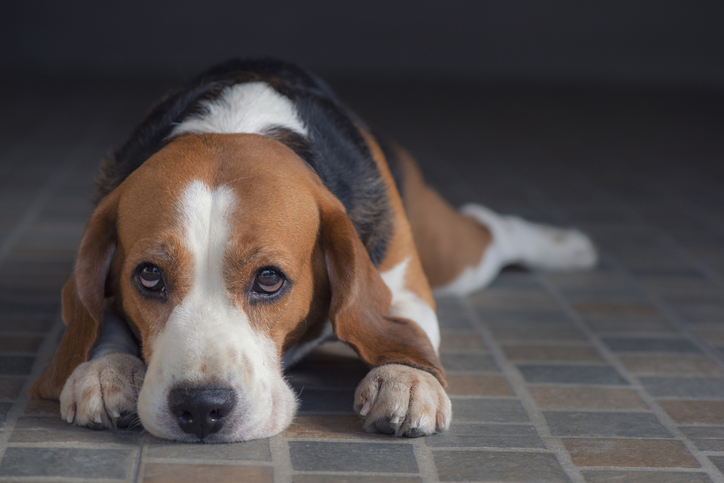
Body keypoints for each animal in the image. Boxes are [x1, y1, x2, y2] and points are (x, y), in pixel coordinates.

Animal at [28, 57, 596, 442]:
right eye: (148, 275)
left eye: (269, 279)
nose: (201, 409)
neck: (238, 119)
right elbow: (97, 317)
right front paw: (105, 370)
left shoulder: (403, 285)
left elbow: (404, 328)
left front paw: (407, 380)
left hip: (454, 258)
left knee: (494, 227)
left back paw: (569, 246)